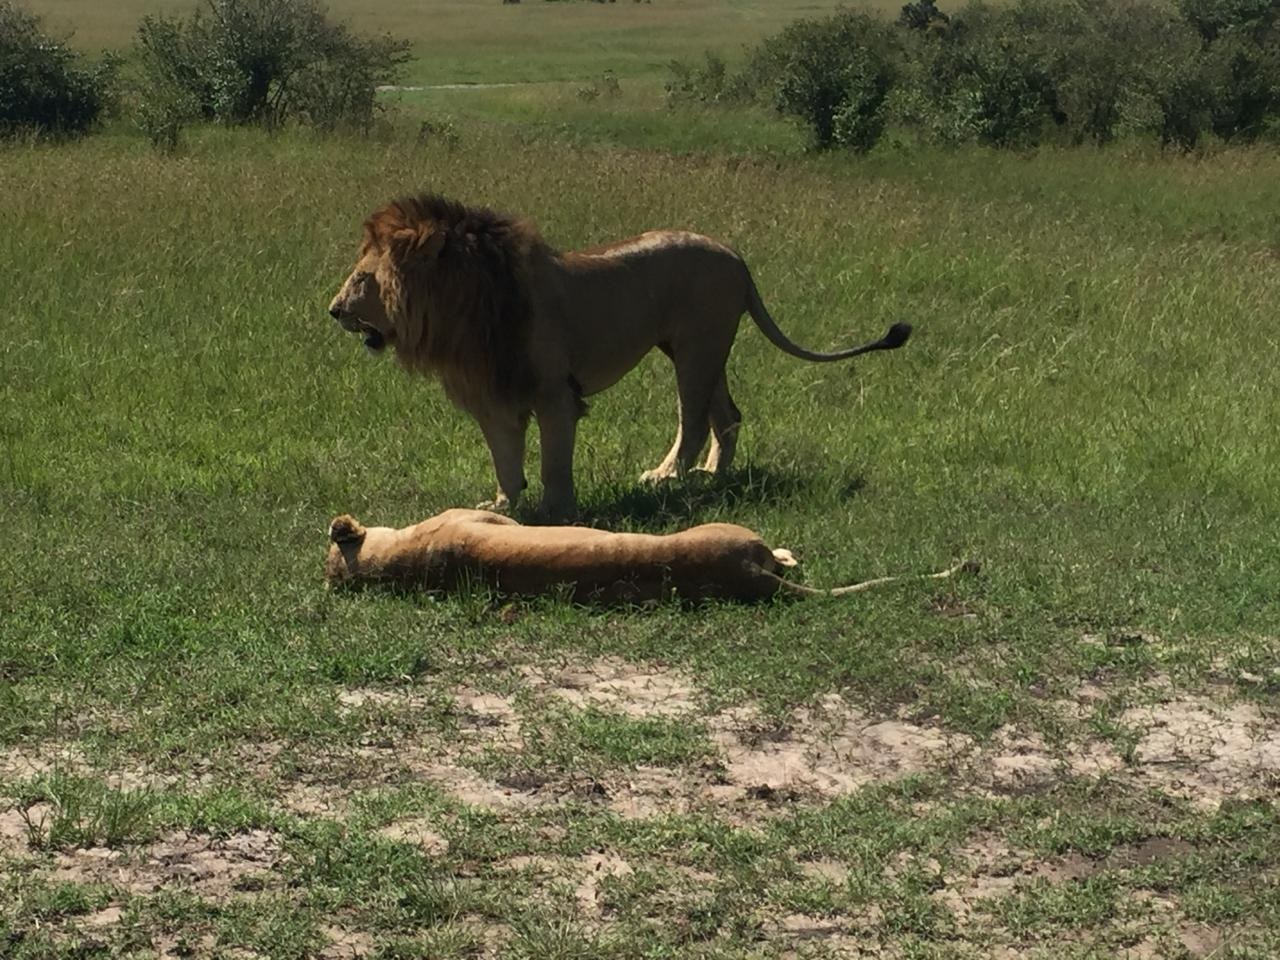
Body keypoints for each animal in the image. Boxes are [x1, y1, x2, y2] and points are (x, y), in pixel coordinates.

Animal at [328, 194, 911, 520]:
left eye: (363, 278)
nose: (333, 310)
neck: (462, 313)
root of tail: (735, 255)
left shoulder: (554, 393)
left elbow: (553, 461)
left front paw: (557, 511)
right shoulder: (494, 398)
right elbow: (504, 459)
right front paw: (502, 506)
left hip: (695, 349)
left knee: (692, 419)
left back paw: (667, 476)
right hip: (703, 350)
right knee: (727, 415)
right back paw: (713, 476)